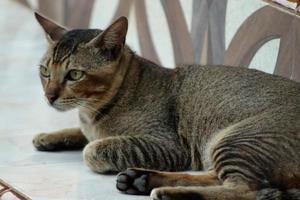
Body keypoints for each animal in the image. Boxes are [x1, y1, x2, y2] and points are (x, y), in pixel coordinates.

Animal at [32, 12, 300, 200]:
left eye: (75, 75)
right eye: (45, 71)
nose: (48, 96)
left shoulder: (168, 146)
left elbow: (93, 149)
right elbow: (81, 133)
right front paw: (49, 136)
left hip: (236, 140)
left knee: (246, 189)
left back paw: (170, 192)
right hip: (220, 146)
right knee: (220, 177)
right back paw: (141, 179)